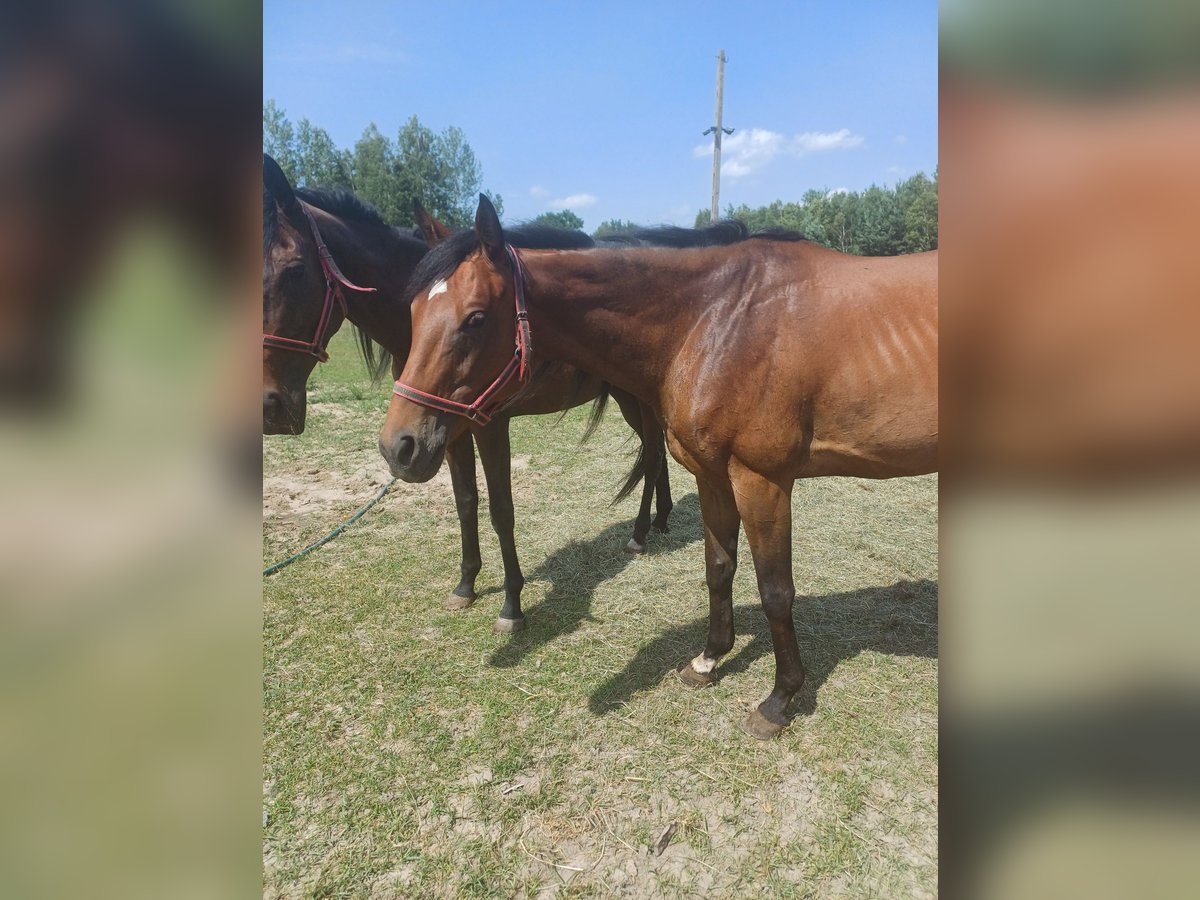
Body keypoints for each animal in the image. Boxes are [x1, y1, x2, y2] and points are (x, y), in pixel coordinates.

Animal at [262, 157, 676, 633]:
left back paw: (641, 533)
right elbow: (466, 503)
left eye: (294, 270)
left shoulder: (488, 426)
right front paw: (466, 585)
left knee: (652, 453)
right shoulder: (442, 432)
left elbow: (500, 510)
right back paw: (660, 519)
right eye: (412, 307)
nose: (270, 407)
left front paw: (512, 605)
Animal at [374, 195, 936, 739]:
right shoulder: (713, 477)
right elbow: (718, 568)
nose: (399, 446)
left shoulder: (762, 482)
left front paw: (779, 701)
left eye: (475, 318)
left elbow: (776, 592)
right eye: (413, 311)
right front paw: (709, 660)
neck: (719, 318)